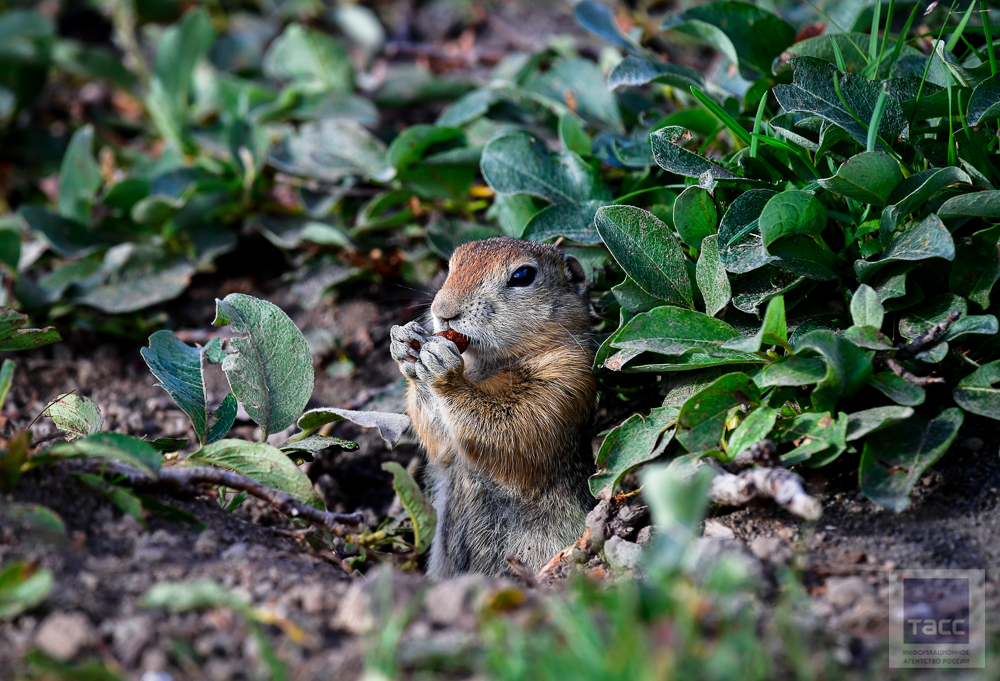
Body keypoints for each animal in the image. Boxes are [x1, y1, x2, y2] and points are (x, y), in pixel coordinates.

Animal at [388, 236, 592, 576]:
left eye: (523, 275)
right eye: (452, 266)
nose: (443, 311)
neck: (490, 365)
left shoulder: (564, 379)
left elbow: (511, 428)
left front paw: (444, 371)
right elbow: (441, 444)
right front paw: (405, 345)